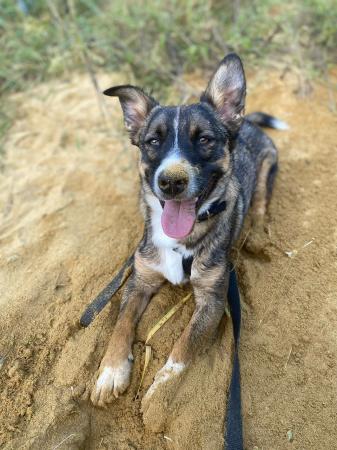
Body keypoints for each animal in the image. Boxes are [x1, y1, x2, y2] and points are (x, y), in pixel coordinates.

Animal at [88, 52, 284, 408]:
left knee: (262, 201)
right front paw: (111, 371)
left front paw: (159, 395)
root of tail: (246, 121)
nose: (171, 182)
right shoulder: (140, 280)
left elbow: (183, 348)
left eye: (204, 139)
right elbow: (121, 325)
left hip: (267, 166)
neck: (180, 243)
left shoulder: (213, 300)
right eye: (153, 141)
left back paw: (259, 235)